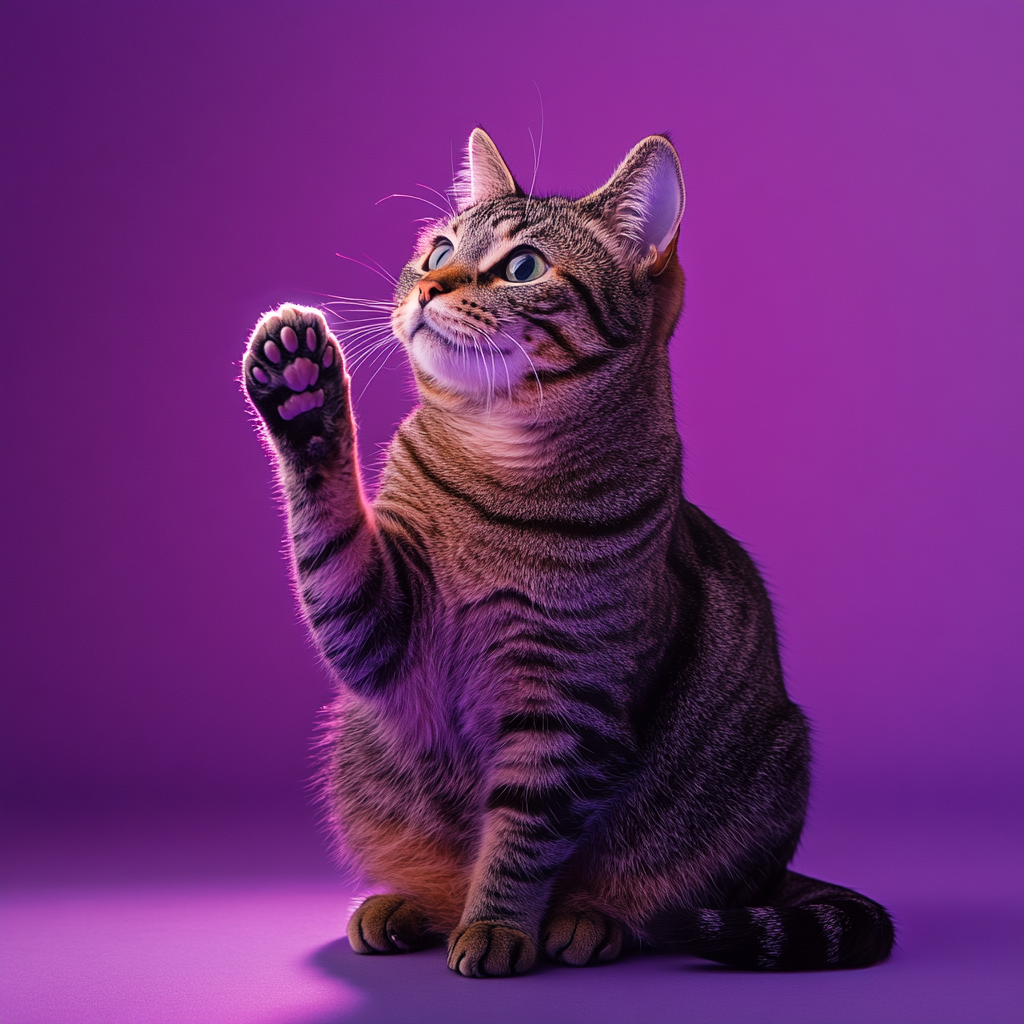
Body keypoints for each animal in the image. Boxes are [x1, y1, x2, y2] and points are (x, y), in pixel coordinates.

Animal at [243, 132, 892, 978]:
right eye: (439, 250)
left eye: (523, 267)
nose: (430, 286)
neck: (497, 472)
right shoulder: (380, 627)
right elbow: (329, 532)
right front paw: (300, 392)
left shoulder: (571, 700)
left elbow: (523, 835)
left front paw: (497, 926)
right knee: (438, 875)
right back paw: (406, 905)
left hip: (765, 772)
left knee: (655, 897)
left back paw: (587, 921)